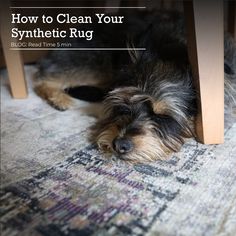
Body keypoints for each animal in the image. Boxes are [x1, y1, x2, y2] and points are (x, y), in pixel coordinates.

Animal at [34, 10, 235, 162]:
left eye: (162, 116)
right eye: (124, 106)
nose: (119, 145)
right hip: (94, 61)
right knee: (43, 77)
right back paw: (59, 98)